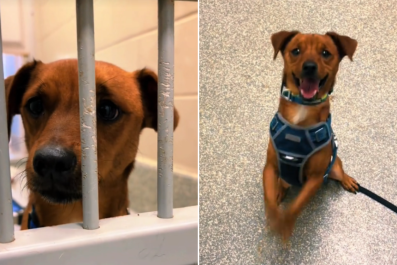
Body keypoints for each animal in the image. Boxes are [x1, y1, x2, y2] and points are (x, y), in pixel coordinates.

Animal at [262, 31, 358, 239]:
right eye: (296, 51)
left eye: (326, 53)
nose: (309, 67)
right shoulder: (270, 167)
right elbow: (268, 199)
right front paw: (273, 217)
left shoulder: (315, 178)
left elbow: (296, 207)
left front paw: (284, 225)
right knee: (283, 182)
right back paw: (281, 189)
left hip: (334, 167)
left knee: (340, 171)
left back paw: (347, 180)